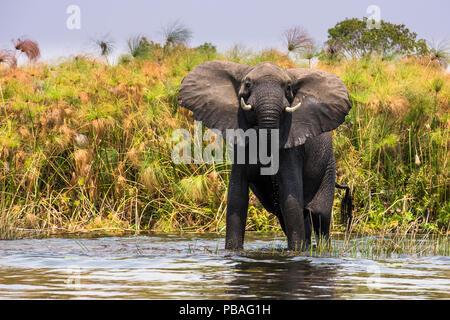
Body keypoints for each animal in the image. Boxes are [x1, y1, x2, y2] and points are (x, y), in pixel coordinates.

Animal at [178, 60, 352, 250]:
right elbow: (237, 197)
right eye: (247, 84)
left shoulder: (292, 148)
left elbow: (290, 198)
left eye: (288, 87)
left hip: (328, 166)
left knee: (320, 217)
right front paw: (233, 251)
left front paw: (295, 252)